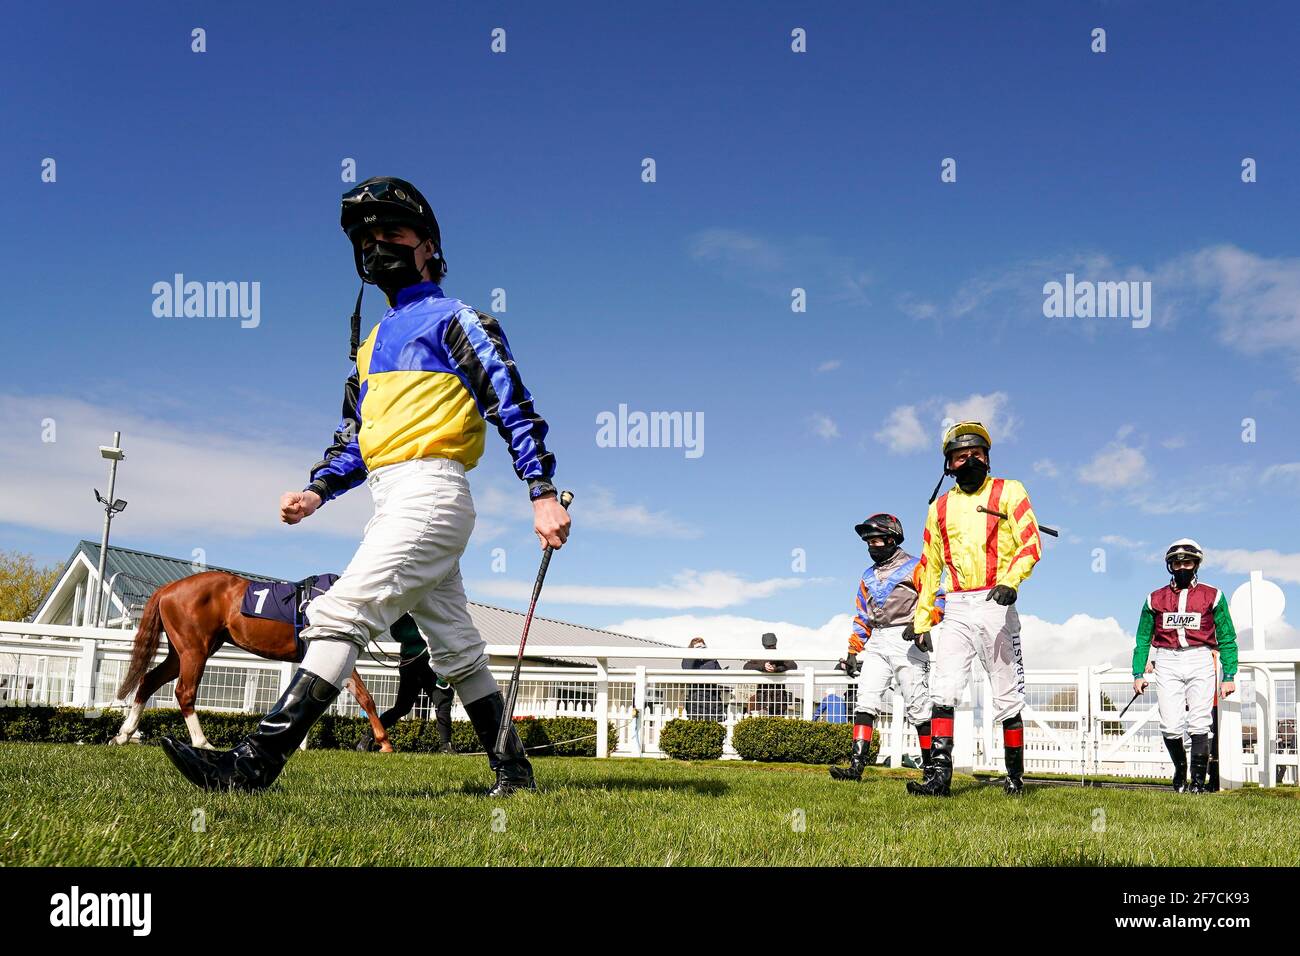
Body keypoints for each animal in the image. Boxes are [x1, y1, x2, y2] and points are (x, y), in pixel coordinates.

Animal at [115, 572, 390, 749]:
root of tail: (167, 588)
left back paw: (124, 734)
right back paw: (203, 742)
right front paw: (384, 742)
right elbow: (364, 696)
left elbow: (362, 696)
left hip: (180, 653)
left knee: (149, 680)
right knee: (185, 692)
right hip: (194, 651)